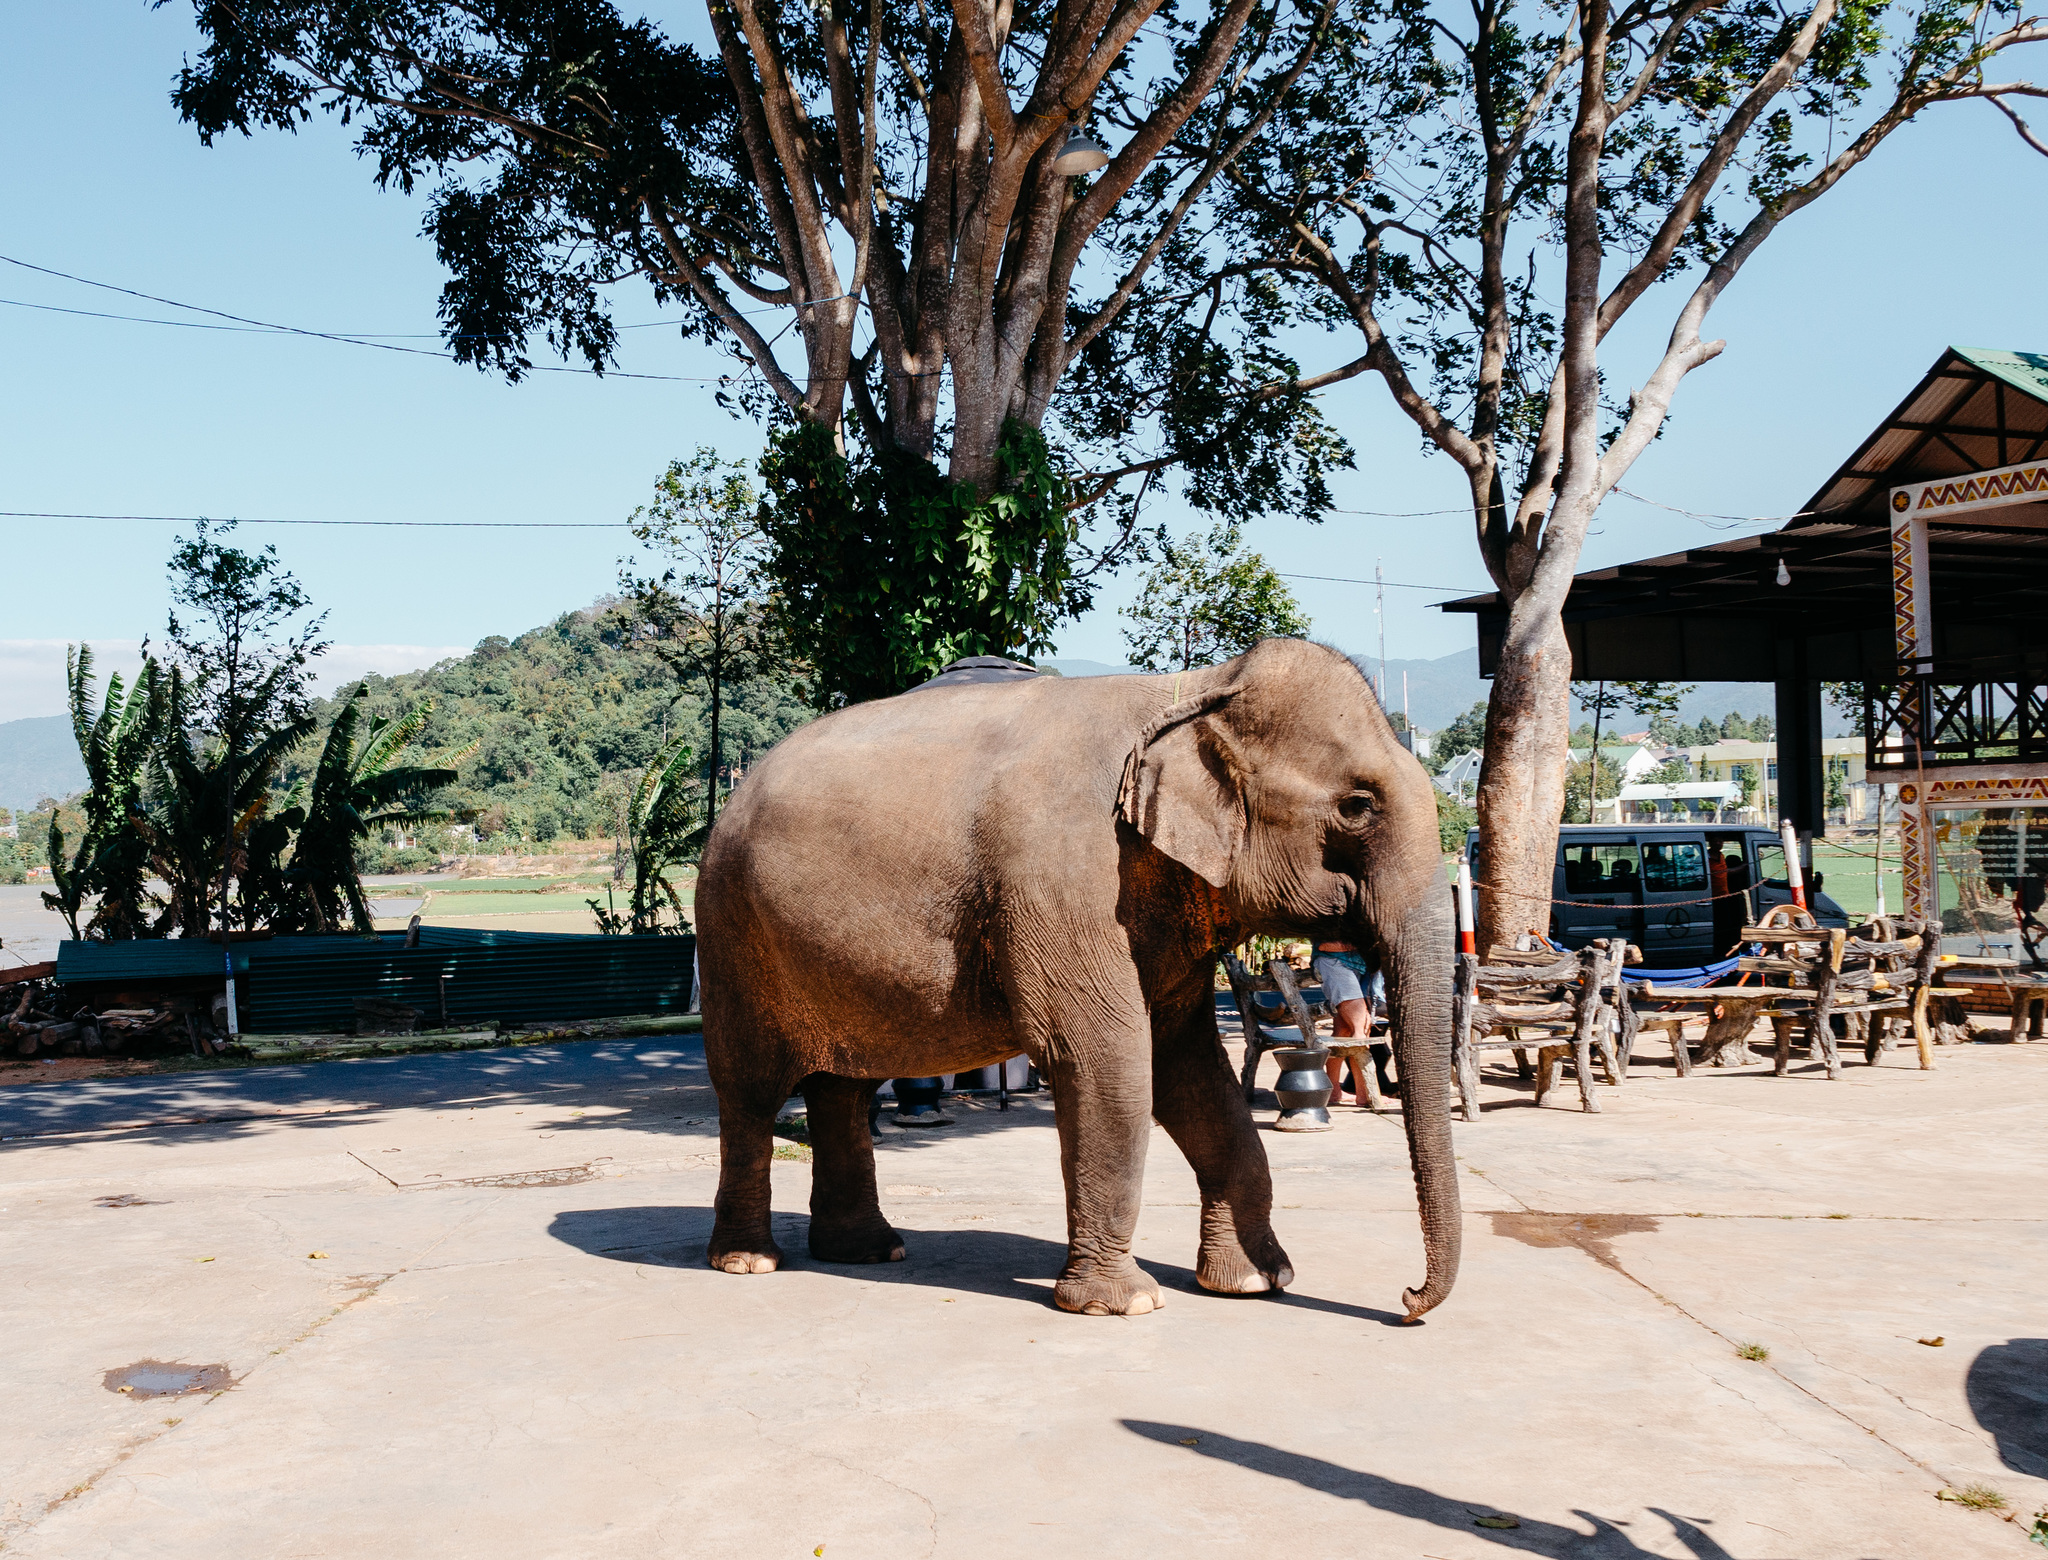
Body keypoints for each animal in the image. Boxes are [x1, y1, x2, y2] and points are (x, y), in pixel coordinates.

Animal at [696, 638, 1466, 1318]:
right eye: (1357, 806)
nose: (1407, 1300)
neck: (1196, 689)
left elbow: (1186, 1064)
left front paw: (1255, 1282)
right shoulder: (1063, 878)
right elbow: (1105, 1055)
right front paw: (1124, 1305)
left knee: (843, 1088)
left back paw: (869, 1252)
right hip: (732, 937)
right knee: (750, 1094)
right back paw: (748, 1262)